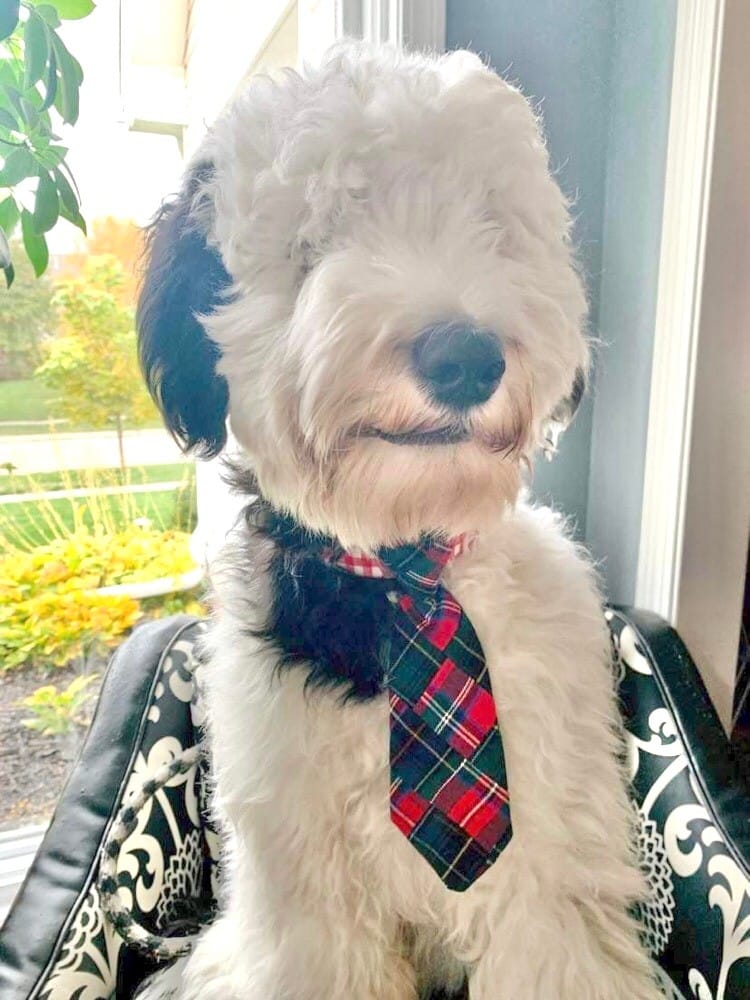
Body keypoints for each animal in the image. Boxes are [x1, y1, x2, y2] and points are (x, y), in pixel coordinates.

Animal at [137, 39, 664, 1000]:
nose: (466, 357)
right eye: (317, 240)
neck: (406, 571)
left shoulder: (546, 873)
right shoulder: (311, 907)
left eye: (492, 226)